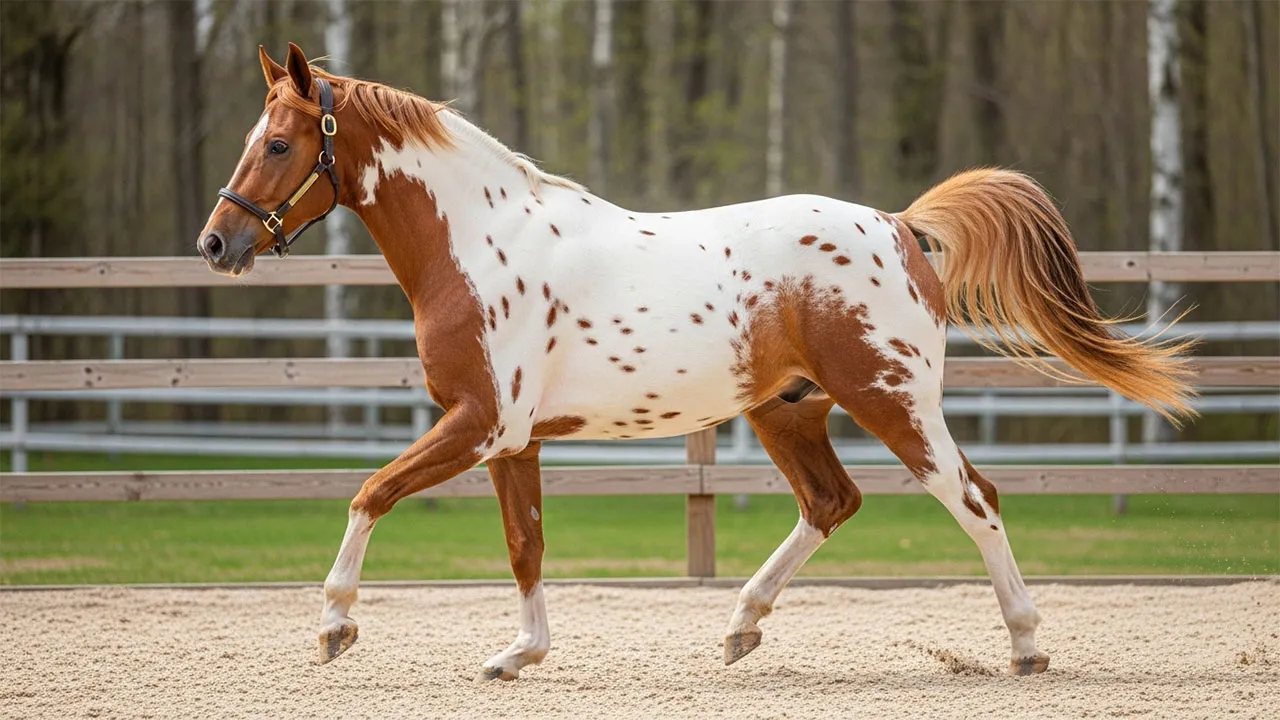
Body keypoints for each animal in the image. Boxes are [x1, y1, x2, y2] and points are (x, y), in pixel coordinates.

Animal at [198, 43, 1196, 680]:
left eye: (279, 142)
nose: (216, 242)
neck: (479, 244)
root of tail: (899, 225)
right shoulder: (514, 439)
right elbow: (526, 544)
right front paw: (519, 655)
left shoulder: (479, 425)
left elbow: (371, 492)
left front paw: (335, 626)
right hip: (787, 409)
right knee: (831, 503)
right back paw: (740, 627)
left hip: (894, 403)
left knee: (974, 499)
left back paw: (1026, 645)